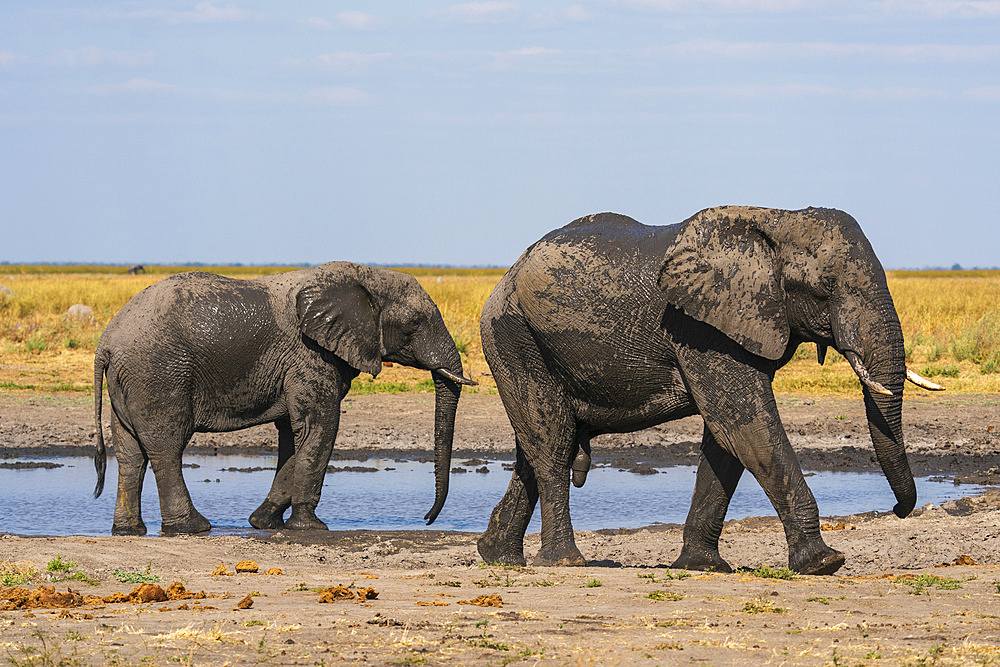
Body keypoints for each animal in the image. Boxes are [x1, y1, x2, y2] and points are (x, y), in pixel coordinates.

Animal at [92, 260, 474, 536]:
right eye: (414, 323)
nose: (426, 519)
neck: (365, 274)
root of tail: (106, 343)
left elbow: (293, 434)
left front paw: (264, 523)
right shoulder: (309, 355)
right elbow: (321, 427)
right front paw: (311, 527)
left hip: (130, 381)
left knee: (130, 452)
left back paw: (128, 531)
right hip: (159, 373)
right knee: (166, 447)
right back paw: (192, 528)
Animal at [476, 207, 944, 576]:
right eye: (827, 285)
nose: (898, 511)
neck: (776, 220)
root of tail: (507, 275)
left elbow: (726, 443)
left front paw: (703, 566)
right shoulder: (701, 329)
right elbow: (748, 428)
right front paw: (824, 563)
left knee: (535, 446)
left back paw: (498, 557)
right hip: (512, 334)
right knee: (552, 442)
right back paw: (564, 562)